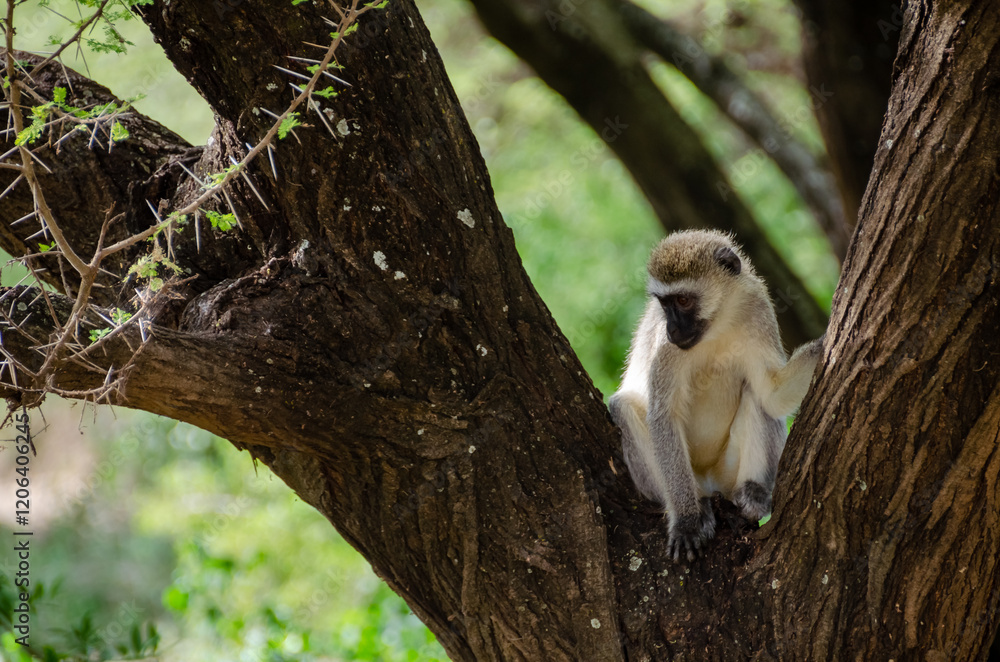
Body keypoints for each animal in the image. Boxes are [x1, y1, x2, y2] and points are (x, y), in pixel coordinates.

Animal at [608, 230, 825, 562]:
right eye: (664, 304)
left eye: (683, 300)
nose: (672, 329)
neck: (718, 324)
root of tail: (710, 485)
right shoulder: (665, 350)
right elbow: (663, 415)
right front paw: (686, 521)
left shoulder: (757, 310)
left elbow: (771, 394)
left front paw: (827, 342)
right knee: (623, 407)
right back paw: (699, 505)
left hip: (727, 472)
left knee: (757, 397)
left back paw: (755, 494)